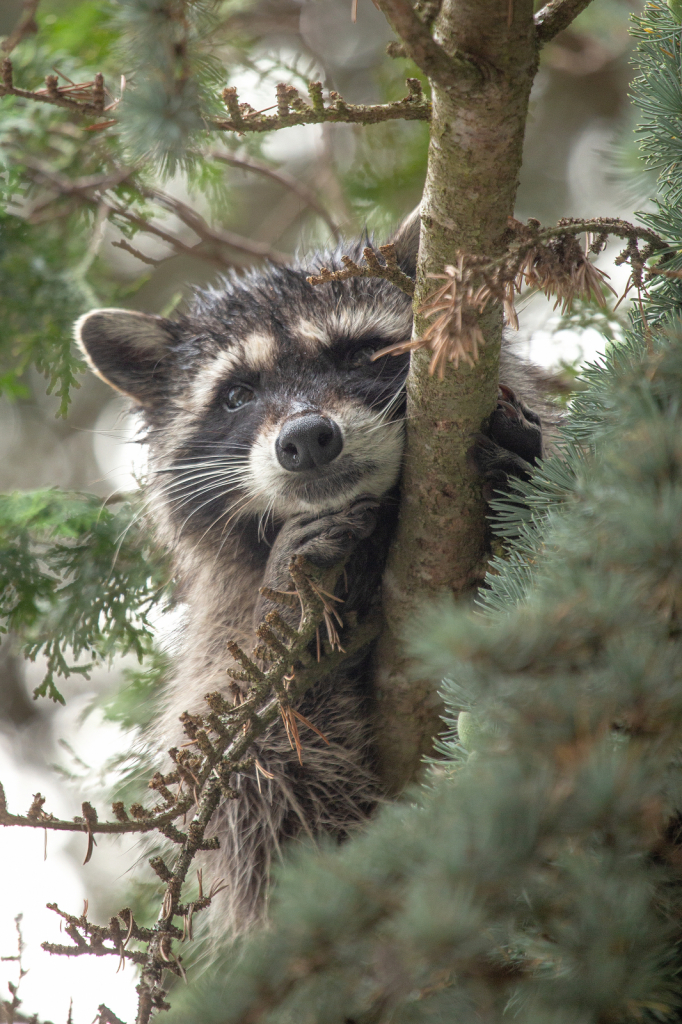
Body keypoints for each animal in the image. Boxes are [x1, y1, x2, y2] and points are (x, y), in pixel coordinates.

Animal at [75, 216, 548, 937]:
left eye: (354, 354)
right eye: (237, 395)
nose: (305, 439)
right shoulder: (222, 624)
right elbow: (268, 814)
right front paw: (289, 614)